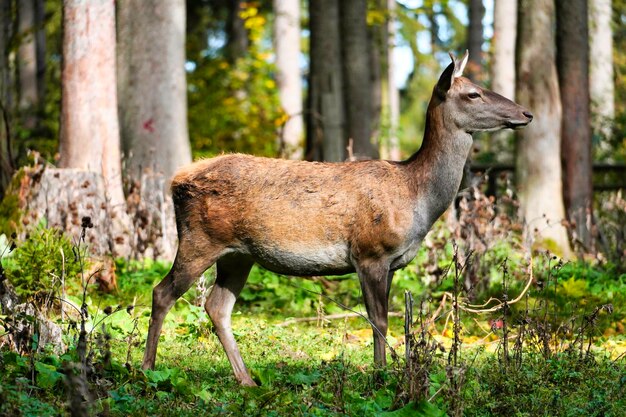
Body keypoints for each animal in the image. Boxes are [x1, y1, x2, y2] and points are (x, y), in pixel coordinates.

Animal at [141, 50, 532, 386]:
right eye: (472, 94)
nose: (526, 113)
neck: (416, 196)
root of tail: (176, 181)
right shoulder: (370, 252)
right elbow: (378, 319)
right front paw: (381, 376)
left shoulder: (390, 263)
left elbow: (390, 318)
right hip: (199, 240)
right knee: (162, 293)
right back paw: (147, 369)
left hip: (238, 254)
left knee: (217, 306)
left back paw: (246, 379)